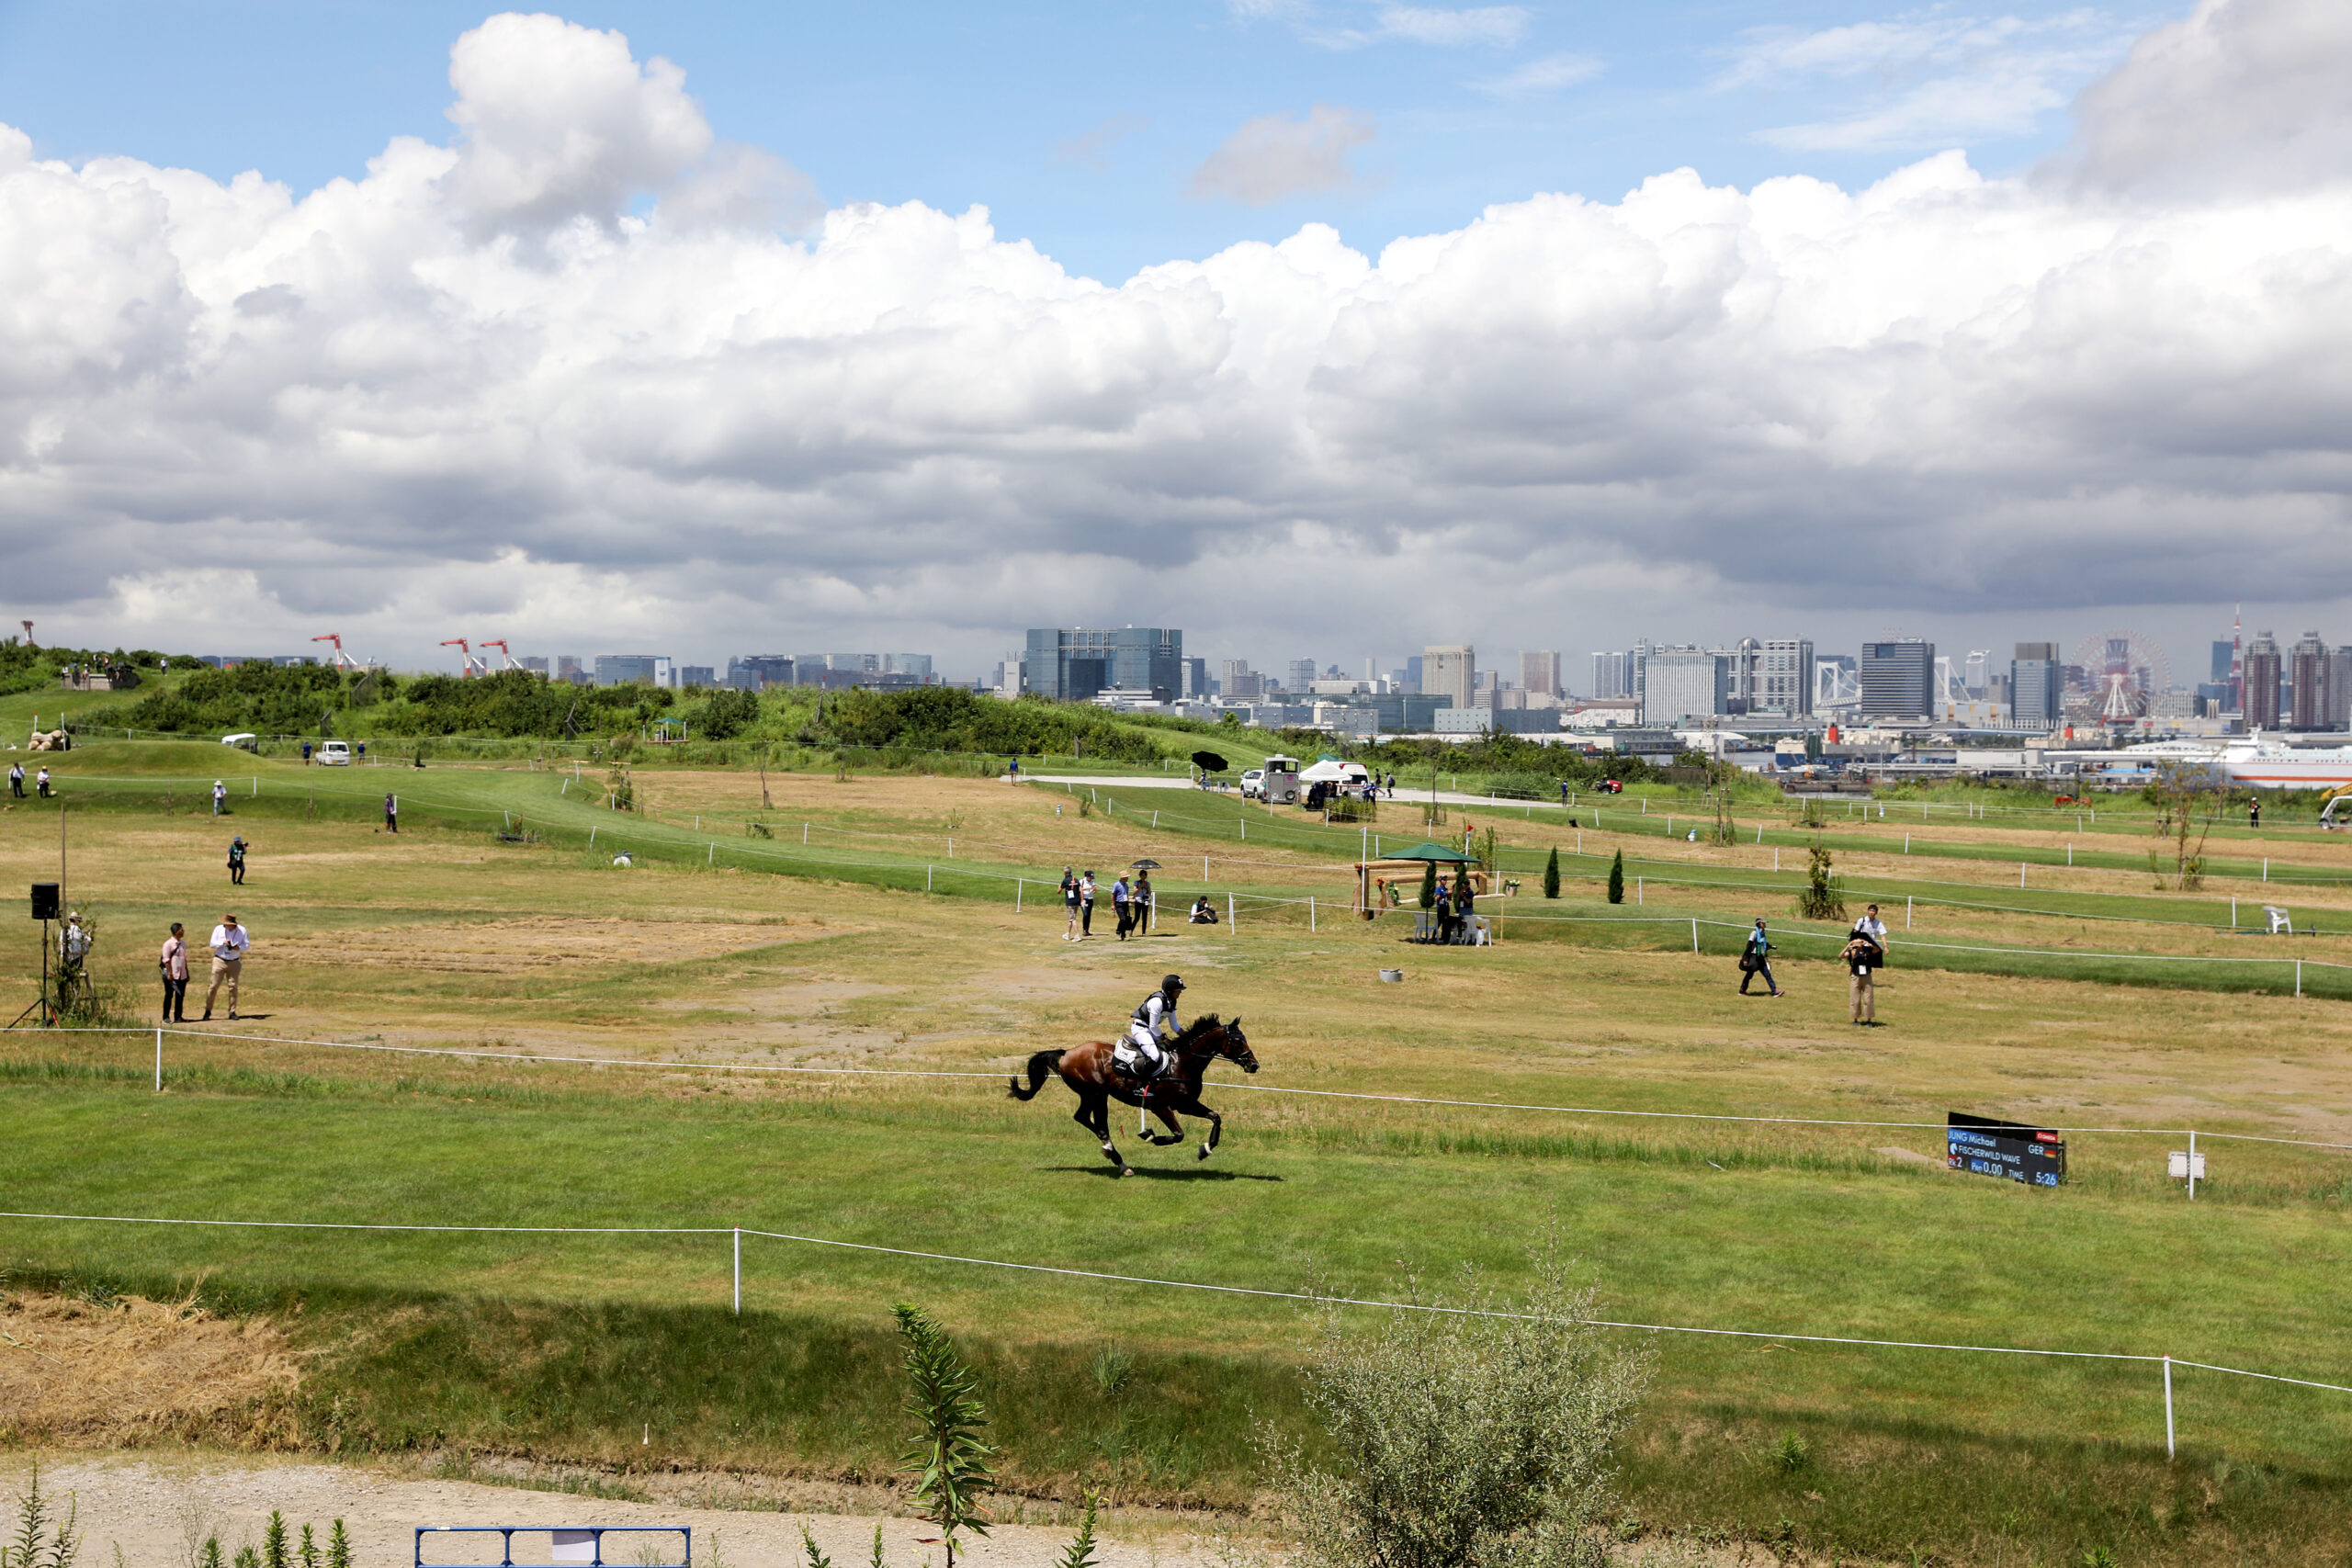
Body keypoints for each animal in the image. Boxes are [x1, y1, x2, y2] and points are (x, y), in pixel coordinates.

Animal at [1015, 1020, 1270, 1175]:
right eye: (1237, 1040)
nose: (1254, 1065)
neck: (1183, 1063)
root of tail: (1067, 1052)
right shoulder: (1161, 1106)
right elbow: (1178, 1134)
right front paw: (1150, 1136)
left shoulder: (1185, 1105)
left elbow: (1215, 1117)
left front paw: (1205, 1149)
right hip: (1094, 1093)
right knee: (1092, 1121)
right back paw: (1115, 1155)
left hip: (1097, 1095)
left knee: (1089, 1120)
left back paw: (1115, 1157)